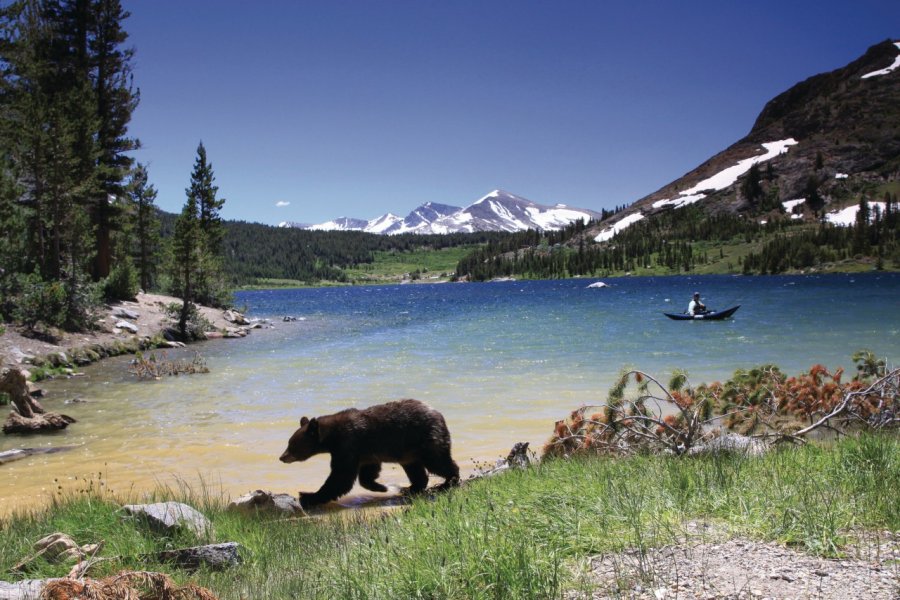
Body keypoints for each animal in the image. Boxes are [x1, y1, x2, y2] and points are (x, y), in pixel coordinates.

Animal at [282, 398, 460, 506]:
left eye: (292, 445)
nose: (282, 457)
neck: (331, 436)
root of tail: (439, 414)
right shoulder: (365, 452)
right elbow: (366, 472)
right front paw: (381, 487)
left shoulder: (347, 445)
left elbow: (341, 476)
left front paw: (308, 495)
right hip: (409, 452)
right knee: (415, 469)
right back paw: (411, 488)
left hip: (426, 438)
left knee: (437, 461)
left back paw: (447, 482)